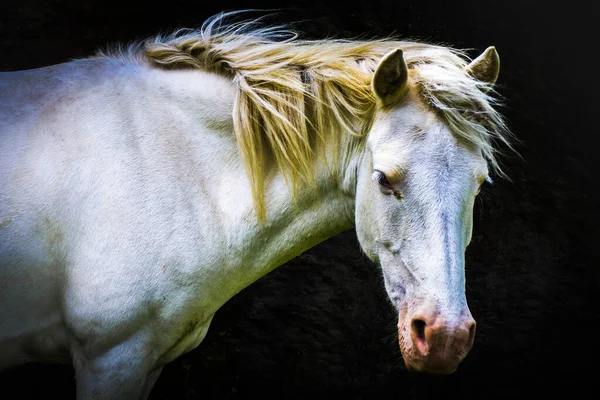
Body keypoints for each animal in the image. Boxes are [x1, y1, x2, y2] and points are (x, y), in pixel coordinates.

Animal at [0, 12, 510, 400]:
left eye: (480, 183)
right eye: (384, 179)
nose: (444, 337)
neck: (177, 165)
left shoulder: (145, 364)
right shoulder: (111, 360)